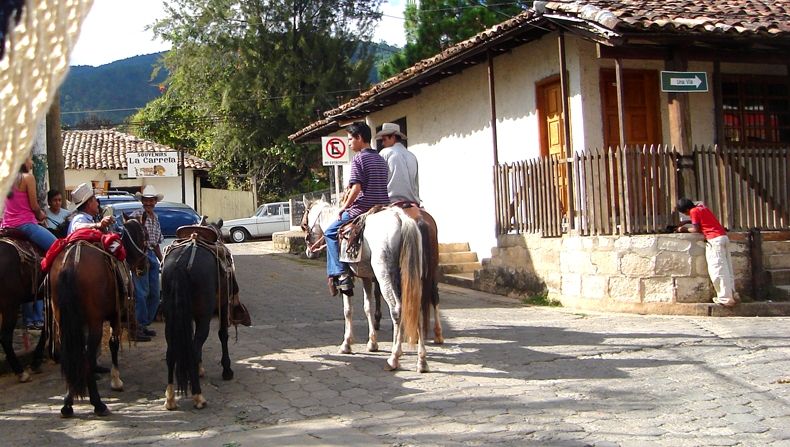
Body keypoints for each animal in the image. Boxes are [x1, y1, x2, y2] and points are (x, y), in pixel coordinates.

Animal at [48, 219, 148, 418]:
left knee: (70, 355)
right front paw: (115, 380)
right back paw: (97, 403)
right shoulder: (114, 316)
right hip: (94, 323)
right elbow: (113, 344)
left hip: (63, 323)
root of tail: (72, 262)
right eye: (145, 235)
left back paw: (68, 403)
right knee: (85, 358)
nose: (145, 266)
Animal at [161, 222, 235, 412]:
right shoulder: (223, 305)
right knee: (194, 348)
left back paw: (170, 398)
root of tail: (180, 264)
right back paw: (198, 396)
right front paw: (227, 370)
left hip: (170, 317)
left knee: (171, 352)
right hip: (204, 315)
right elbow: (223, 335)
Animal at [304, 198, 442, 372]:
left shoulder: (349, 278)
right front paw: (372, 343)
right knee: (417, 306)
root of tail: (403, 220)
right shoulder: (367, 278)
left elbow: (348, 310)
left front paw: (346, 344)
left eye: (304, 225)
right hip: (415, 278)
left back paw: (394, 358)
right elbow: (367, 307)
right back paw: (422, 360)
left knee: (397, 310)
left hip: (385, 275)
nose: (309, 251)